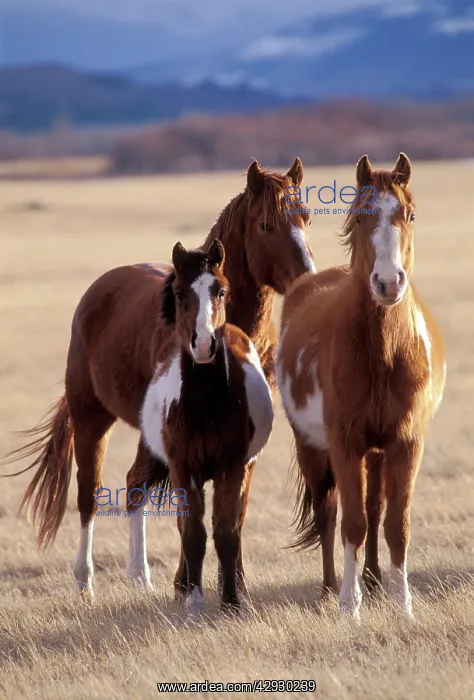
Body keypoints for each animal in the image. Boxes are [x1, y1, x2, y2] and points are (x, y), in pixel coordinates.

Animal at [2, 158, 315, 603]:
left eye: (305, 217)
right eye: (266, 225)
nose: (309, 279)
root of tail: (100, 289)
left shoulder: (246, 448)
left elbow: (233, 514)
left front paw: (233, 586)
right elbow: (189, 516)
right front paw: (187, 586)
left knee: (135, 484)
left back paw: (140, 576)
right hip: (91, 416)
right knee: (88, 494)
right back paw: (85, 581)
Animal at [276, 153, 446, 620]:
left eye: (409, 214)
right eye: (361, 217)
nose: (388, 283)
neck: (383, 353)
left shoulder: (405, 442)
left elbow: (394, 524)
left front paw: (402, 606)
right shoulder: (345, 442)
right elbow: (351, 523)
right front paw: (348, 609)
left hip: (376, 453)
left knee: (374, 509)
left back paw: (372, 581)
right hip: (312, 449)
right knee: (328, 513)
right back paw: (332, 589)